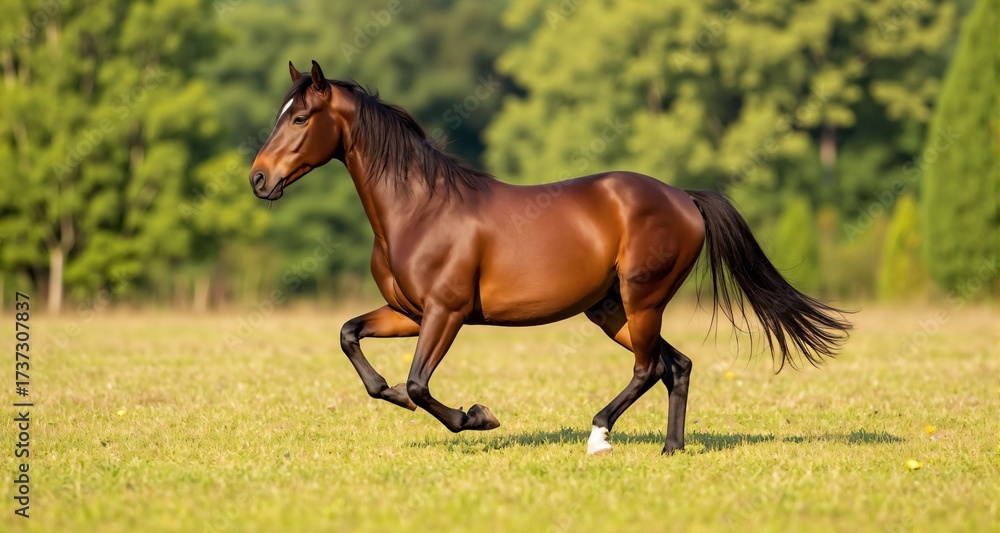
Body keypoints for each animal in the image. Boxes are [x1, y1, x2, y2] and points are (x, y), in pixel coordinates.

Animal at [249, 61, 851, 456]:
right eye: (281, 114)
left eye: (300, 119)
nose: (258, 179)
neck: (419, 208)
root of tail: (683, 197)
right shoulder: (409, 313)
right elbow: (354, 342)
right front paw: (403, 394)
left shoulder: (446, 313)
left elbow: (418, 384)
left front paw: (478, 417)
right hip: (611, 309)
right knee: (675, 365)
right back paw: (671, 449)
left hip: (642, 298)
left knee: (649, 366)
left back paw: (600, 434)